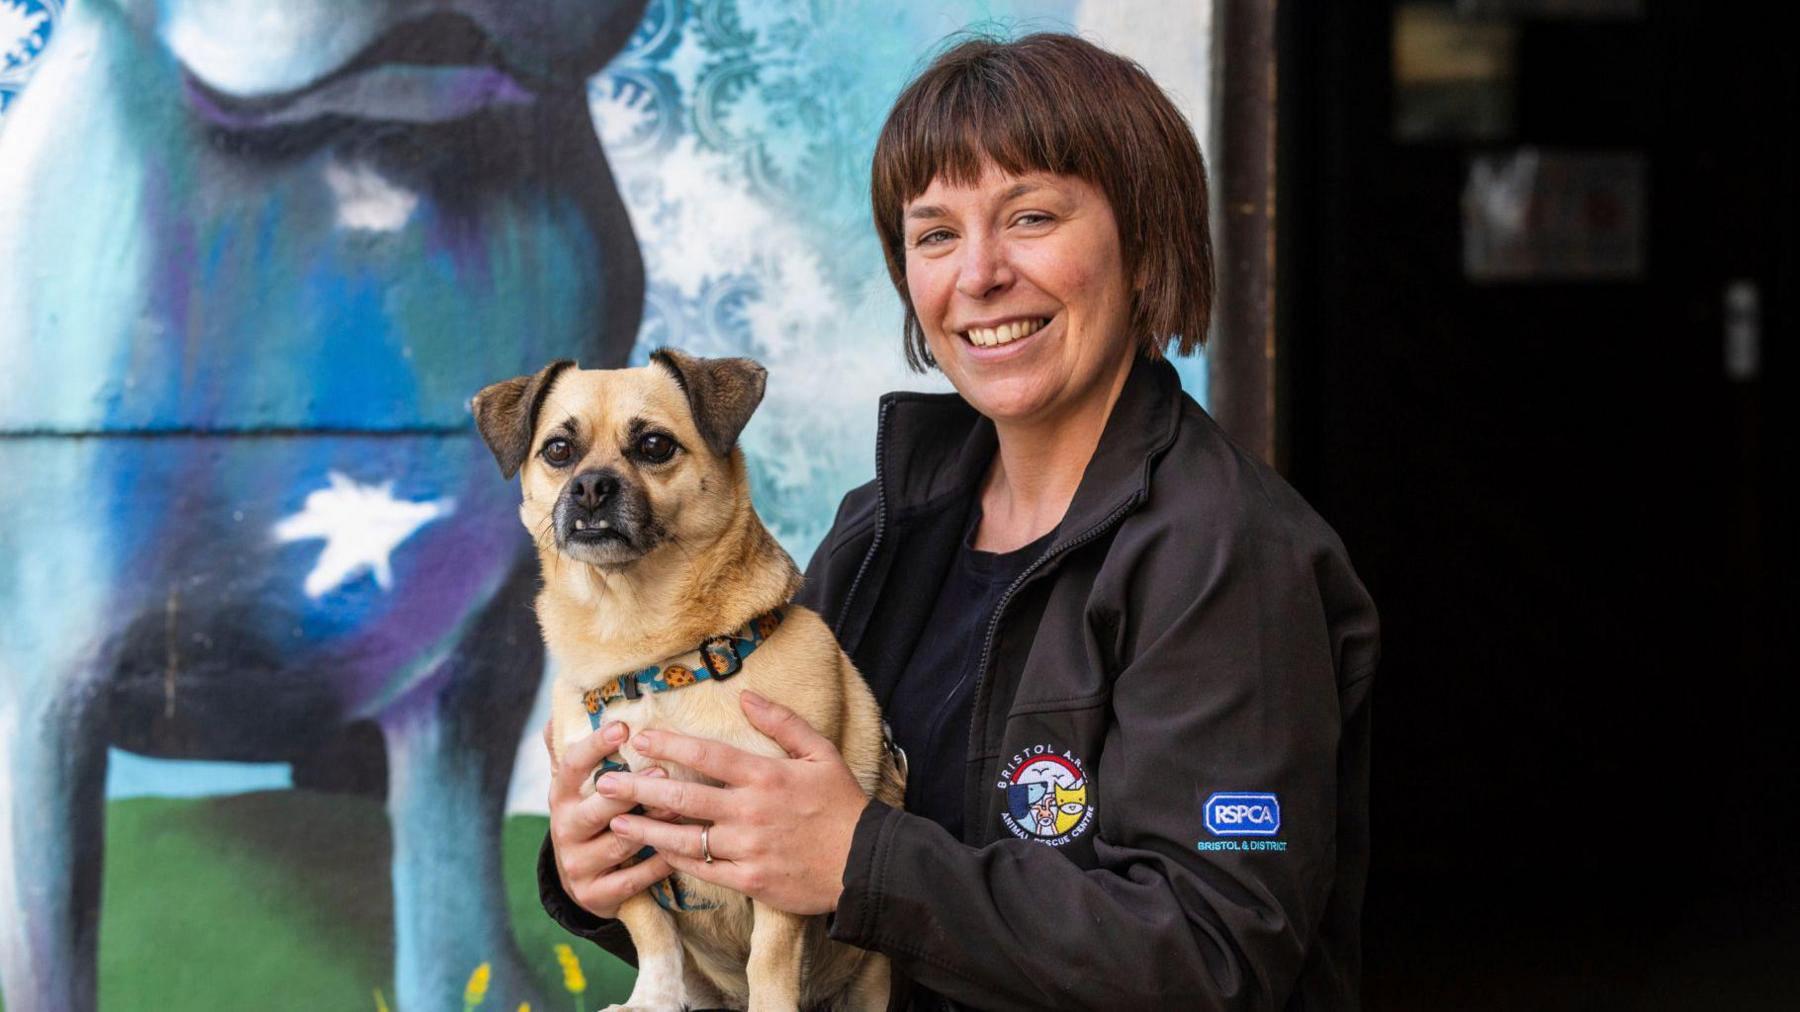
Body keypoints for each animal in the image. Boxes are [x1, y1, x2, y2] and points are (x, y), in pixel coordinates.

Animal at [475, 349, 900, 1008]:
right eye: (558, 450)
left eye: (654, 445)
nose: (590, 486)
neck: (650, 655)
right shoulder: (614, 822)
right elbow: (650, 929)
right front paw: (652, 995)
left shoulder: (777, 841)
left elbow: (770, 953)